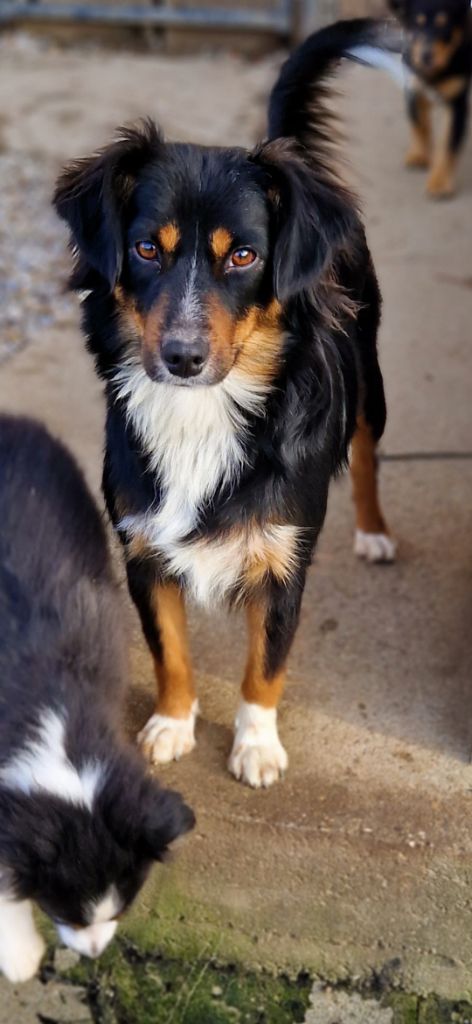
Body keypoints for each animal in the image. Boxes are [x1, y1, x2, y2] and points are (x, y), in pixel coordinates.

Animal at [53, 22, 395, 790]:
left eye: (243, 256)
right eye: (146, 248)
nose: (182, 357)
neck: (204, 413)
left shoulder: (284, 558)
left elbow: (264, 665)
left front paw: (256, 746)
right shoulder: (144, 547)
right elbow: (170, 649)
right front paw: (173, 724)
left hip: (370, 380)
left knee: (365, 453)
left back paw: (374, 532)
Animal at [389, 0, 468, 197]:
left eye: (444, 26)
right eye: (417, 25)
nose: (426, 56)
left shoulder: (457, 103)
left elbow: (447, 143)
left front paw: (440, 182)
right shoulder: (413, 88)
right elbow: (419, 124)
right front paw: (419, 155)